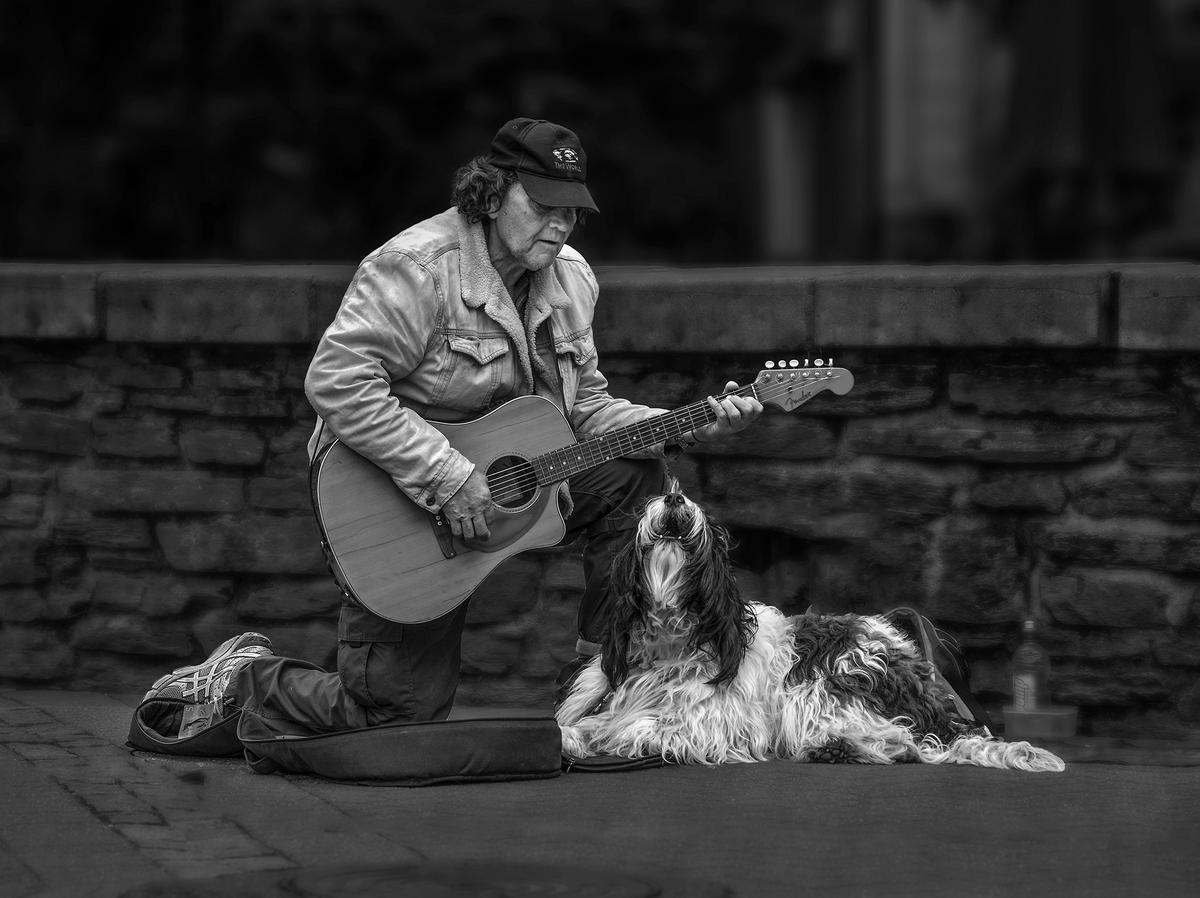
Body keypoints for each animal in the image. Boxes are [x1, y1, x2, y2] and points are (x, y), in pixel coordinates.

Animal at [556, 492, 1065, 773]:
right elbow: (586, 723)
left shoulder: (712, 724)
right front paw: (571, 737)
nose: (675, 498)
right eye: (651, 502)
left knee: (906, 744)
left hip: (817, 686)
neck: (670, 640)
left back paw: (843, 747)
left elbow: (639, 727)